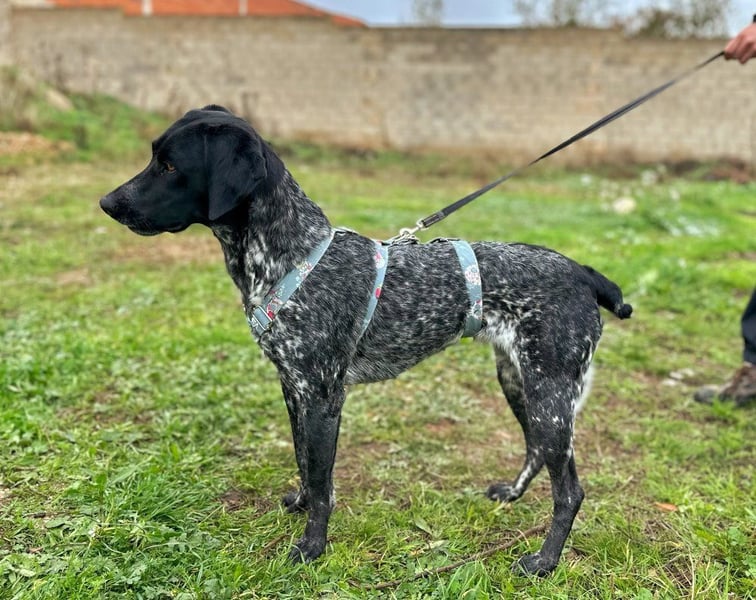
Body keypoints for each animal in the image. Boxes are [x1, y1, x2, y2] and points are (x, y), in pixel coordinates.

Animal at [100, 105, 632, 576]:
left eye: (170, 166)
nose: (106, 203)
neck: (290, 256)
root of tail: (583, 273)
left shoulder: (323, 397)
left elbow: (322, 481)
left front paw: (312, 548)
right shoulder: (294, 389)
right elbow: (305, 465)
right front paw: (300, 505)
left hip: (550, 395)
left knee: (569, 491)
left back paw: (545, 561)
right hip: (520, 382)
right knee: (538, 451)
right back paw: (515, 495)